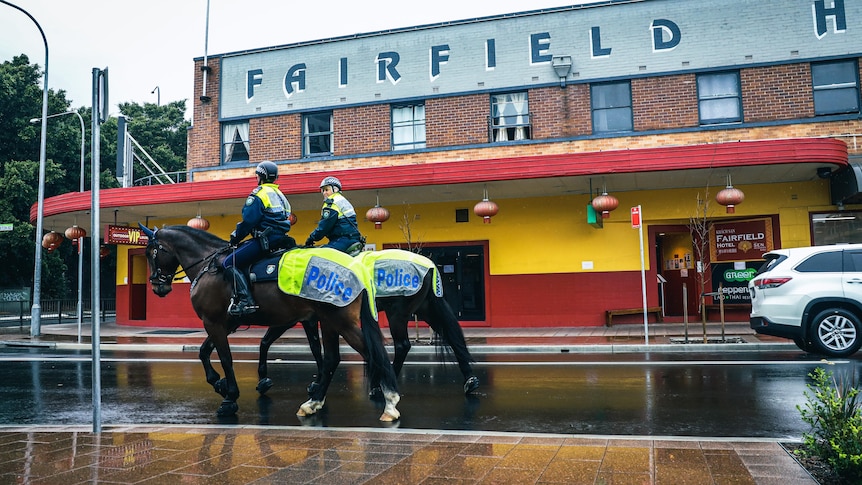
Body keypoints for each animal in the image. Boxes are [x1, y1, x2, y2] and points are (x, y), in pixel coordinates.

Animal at [138, 226, 402, 420]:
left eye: (150, 253)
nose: (158, 286)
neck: (209, 265)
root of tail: (356, 266)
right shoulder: (226, 322)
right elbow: (204, 351)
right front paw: (220, 383)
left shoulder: (214, 322)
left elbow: (225, 357)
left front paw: (230, 396)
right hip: (329, 321)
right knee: (332, 359)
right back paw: (314, 402)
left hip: (341, 321)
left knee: (371, 354)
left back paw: (388, 401)